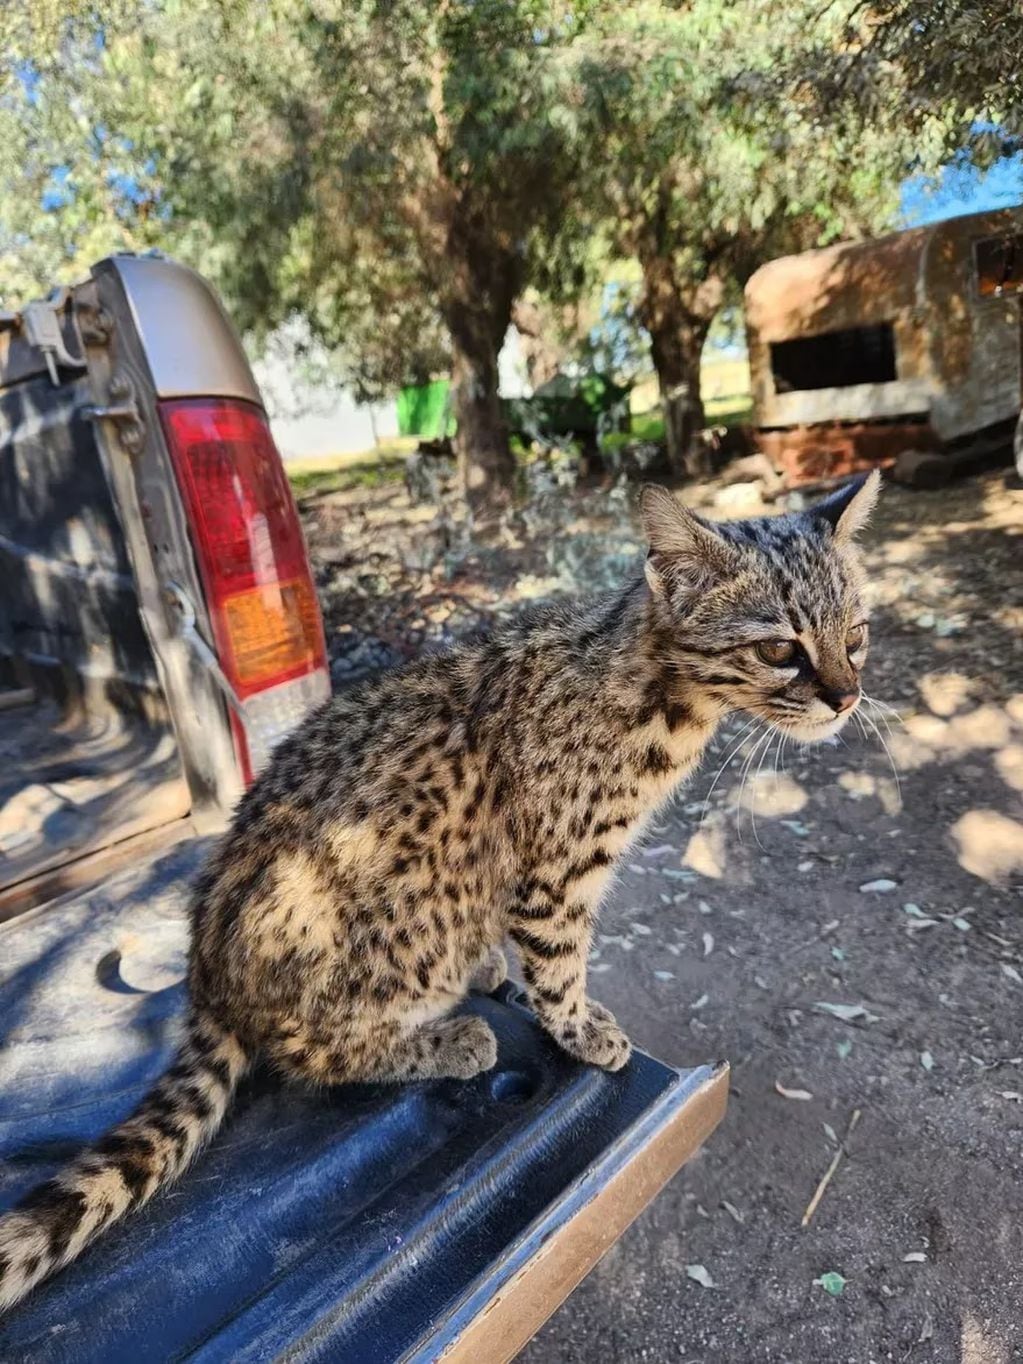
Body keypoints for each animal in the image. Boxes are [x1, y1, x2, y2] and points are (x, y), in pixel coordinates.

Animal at [2, 471, 883, 1309]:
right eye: (778, 648)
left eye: (857, 636)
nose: (846, 697)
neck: (663, 698)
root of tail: (205, 974)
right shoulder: (553, 873)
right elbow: (559, 967)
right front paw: (581, 1030)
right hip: (401, 920)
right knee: (306, 1052)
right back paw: (449, 1038)